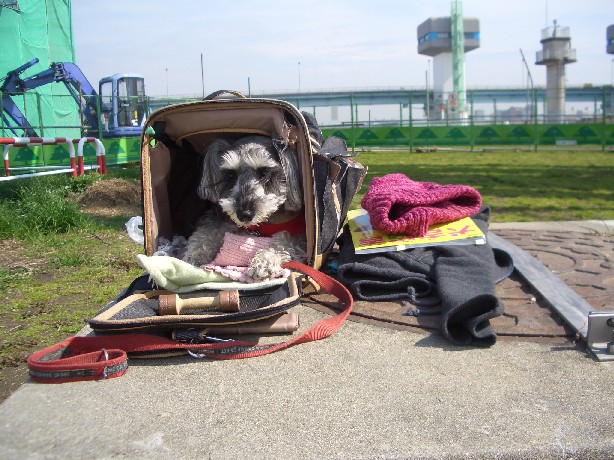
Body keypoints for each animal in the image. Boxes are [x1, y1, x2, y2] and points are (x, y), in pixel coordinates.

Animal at [182, 135, 306, 280]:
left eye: (264, 173)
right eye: (231, 175)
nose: (244, 215)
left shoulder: (299, 234)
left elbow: (284, 241)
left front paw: (263, 261)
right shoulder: (219, 218)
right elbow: (208, 231)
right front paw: (196, 253)